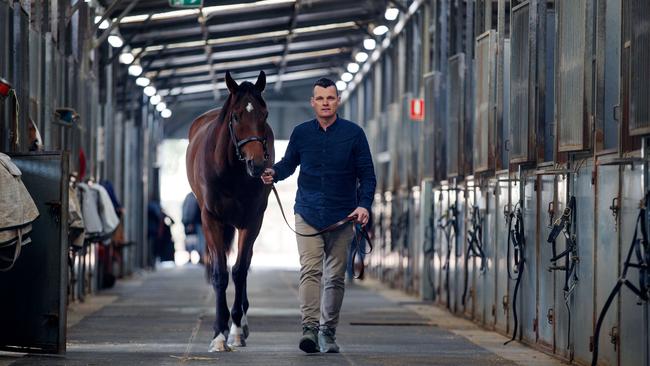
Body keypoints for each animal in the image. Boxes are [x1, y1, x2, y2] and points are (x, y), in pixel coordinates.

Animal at [185, 71, 274, 352]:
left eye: (265, 114)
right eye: (235, 116)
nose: (257, 165)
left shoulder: (252, 220)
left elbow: (239, 270)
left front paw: (234, 330)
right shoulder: (211, 219)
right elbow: (220, 274)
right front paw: (218, 334)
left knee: (244, 265)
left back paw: (241, 324)